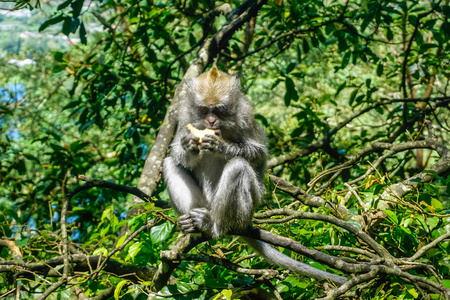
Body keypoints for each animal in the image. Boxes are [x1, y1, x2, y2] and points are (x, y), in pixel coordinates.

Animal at [163, 65, 346, 286]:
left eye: (220, 110)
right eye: (204, 110)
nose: (211, 121)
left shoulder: (245, 114)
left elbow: (258, 154)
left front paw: (221, 146)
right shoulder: (184, 114)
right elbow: (177, 155)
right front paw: (188, 144)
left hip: (245, 207)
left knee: (238, 166)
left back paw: (213, 226)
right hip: (204, 202)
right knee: (169, 164)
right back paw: (192, 224)